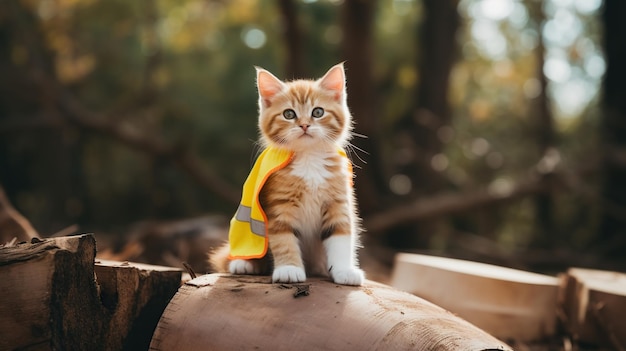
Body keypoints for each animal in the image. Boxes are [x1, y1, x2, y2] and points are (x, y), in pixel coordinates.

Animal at [212, 64, 364, 288]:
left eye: (318, 112)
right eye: (289, 114)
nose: (304, 125)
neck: (309, 158)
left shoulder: (337, 202)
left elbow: (341, 236)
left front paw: (344, 270)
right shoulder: (278, 206)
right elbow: (284, 239)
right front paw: (289, 269)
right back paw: (244, 263)